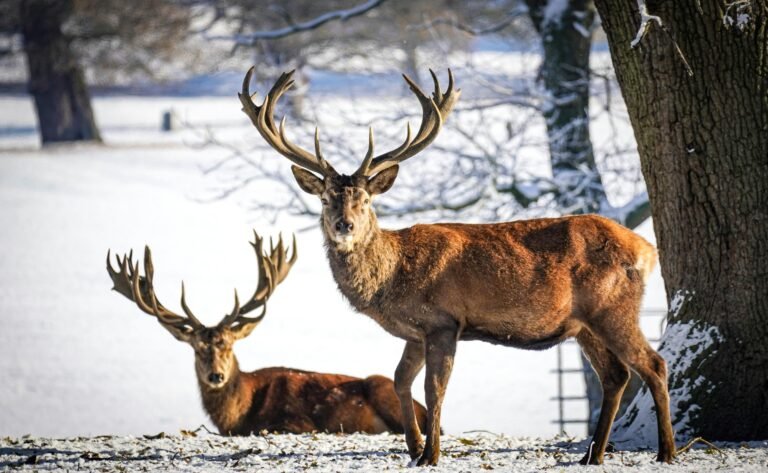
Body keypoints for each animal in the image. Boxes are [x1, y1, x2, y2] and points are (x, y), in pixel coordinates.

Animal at [106, 232, 428, 436]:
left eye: (228, 345)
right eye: (197, 348)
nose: (216, 375)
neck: (239, 413)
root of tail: (424, 411)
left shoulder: (296, 422)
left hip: (382, 389)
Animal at [238, 68, 676, 466]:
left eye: (365, 200)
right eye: (327, 198)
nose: (344, 225)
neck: (393, 279)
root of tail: (645, 248)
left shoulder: (444, 321)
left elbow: (434, 389)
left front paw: (431, 455)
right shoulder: (415, 332)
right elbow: (400, 381)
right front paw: (413, 449)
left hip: (612, 306)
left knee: (653, 364)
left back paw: (666, 452)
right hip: (583, 323)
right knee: (616, 375)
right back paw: (593, 455)